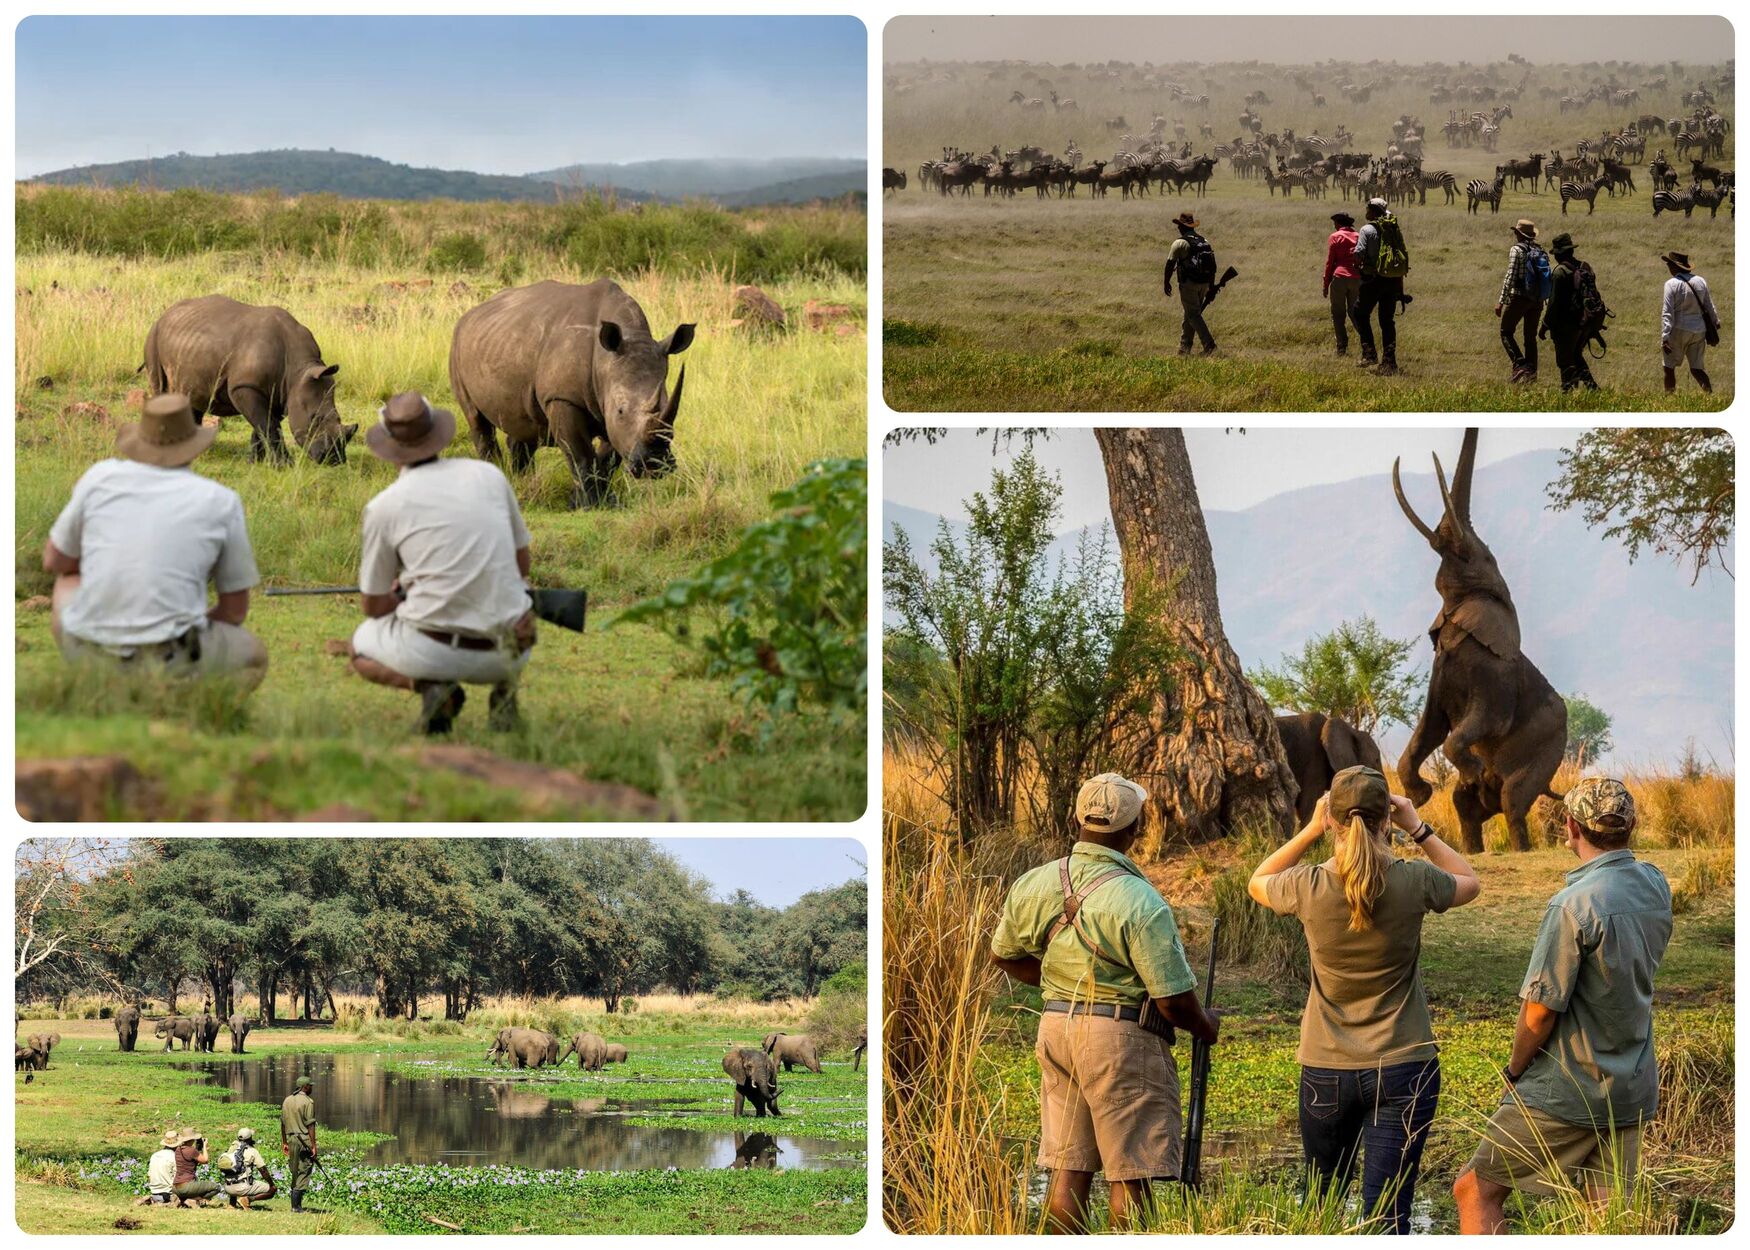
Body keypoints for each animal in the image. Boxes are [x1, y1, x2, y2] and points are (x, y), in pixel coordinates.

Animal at [1393, 425, 1575, 847]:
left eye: (1487, 558)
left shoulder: (1496, 682)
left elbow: (1471, 727)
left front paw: (1471, 766)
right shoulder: (1439, 673)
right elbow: (1430, 728)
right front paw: (1421, 794)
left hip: (1547, 751)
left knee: (1513, 799)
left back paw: (1518, 845)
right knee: (1465, 805)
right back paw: (1473, 847)